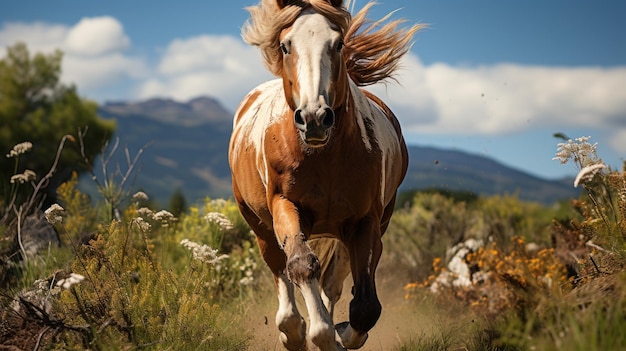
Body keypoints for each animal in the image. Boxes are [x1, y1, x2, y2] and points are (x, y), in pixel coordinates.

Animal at [228, 0, 420, 350]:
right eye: (285, 45)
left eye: (338, 43)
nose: (314, 118)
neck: (325, 156)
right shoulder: (286, 206)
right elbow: (302, 266)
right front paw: (316, 333)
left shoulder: (366, 222)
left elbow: (365, 306)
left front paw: (341, 333)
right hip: (260, 227)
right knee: (282, 271)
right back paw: (292, 330)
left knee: (332, 284)